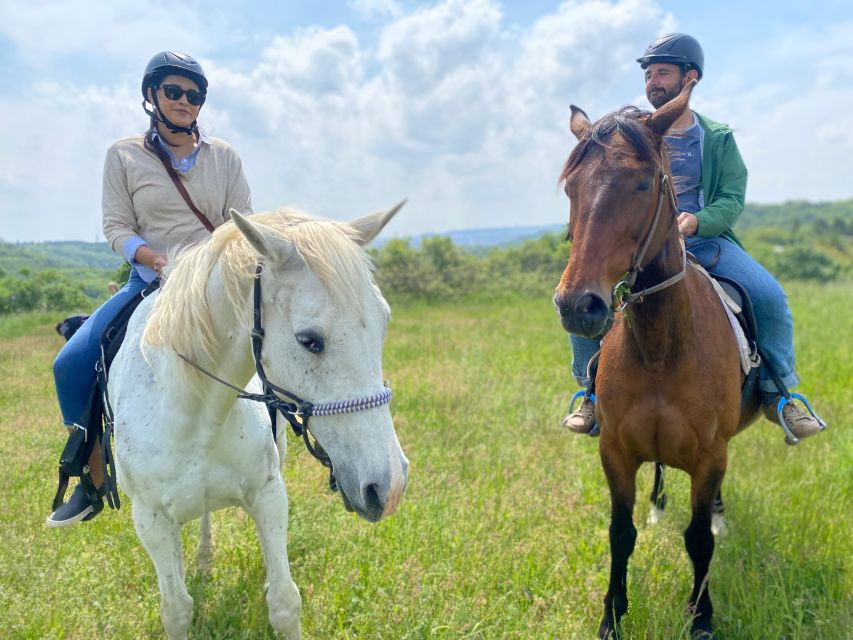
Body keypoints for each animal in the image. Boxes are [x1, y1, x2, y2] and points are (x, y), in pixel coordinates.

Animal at [107, 204, 410, 636]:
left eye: (384, 324)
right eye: (309, 340)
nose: (391, 486)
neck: (197, 413)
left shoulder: (269, 495)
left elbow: (284, 601)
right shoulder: (149, 519)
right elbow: (176, 610)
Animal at [552, 82, 760, 636]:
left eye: (644, 184)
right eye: (571, 188)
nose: (578, 305)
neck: (660, 349)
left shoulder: (710, 456)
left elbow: (699, 540)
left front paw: (701, 617)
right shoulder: (616, 453)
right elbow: (619, 534)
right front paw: (611, 617)